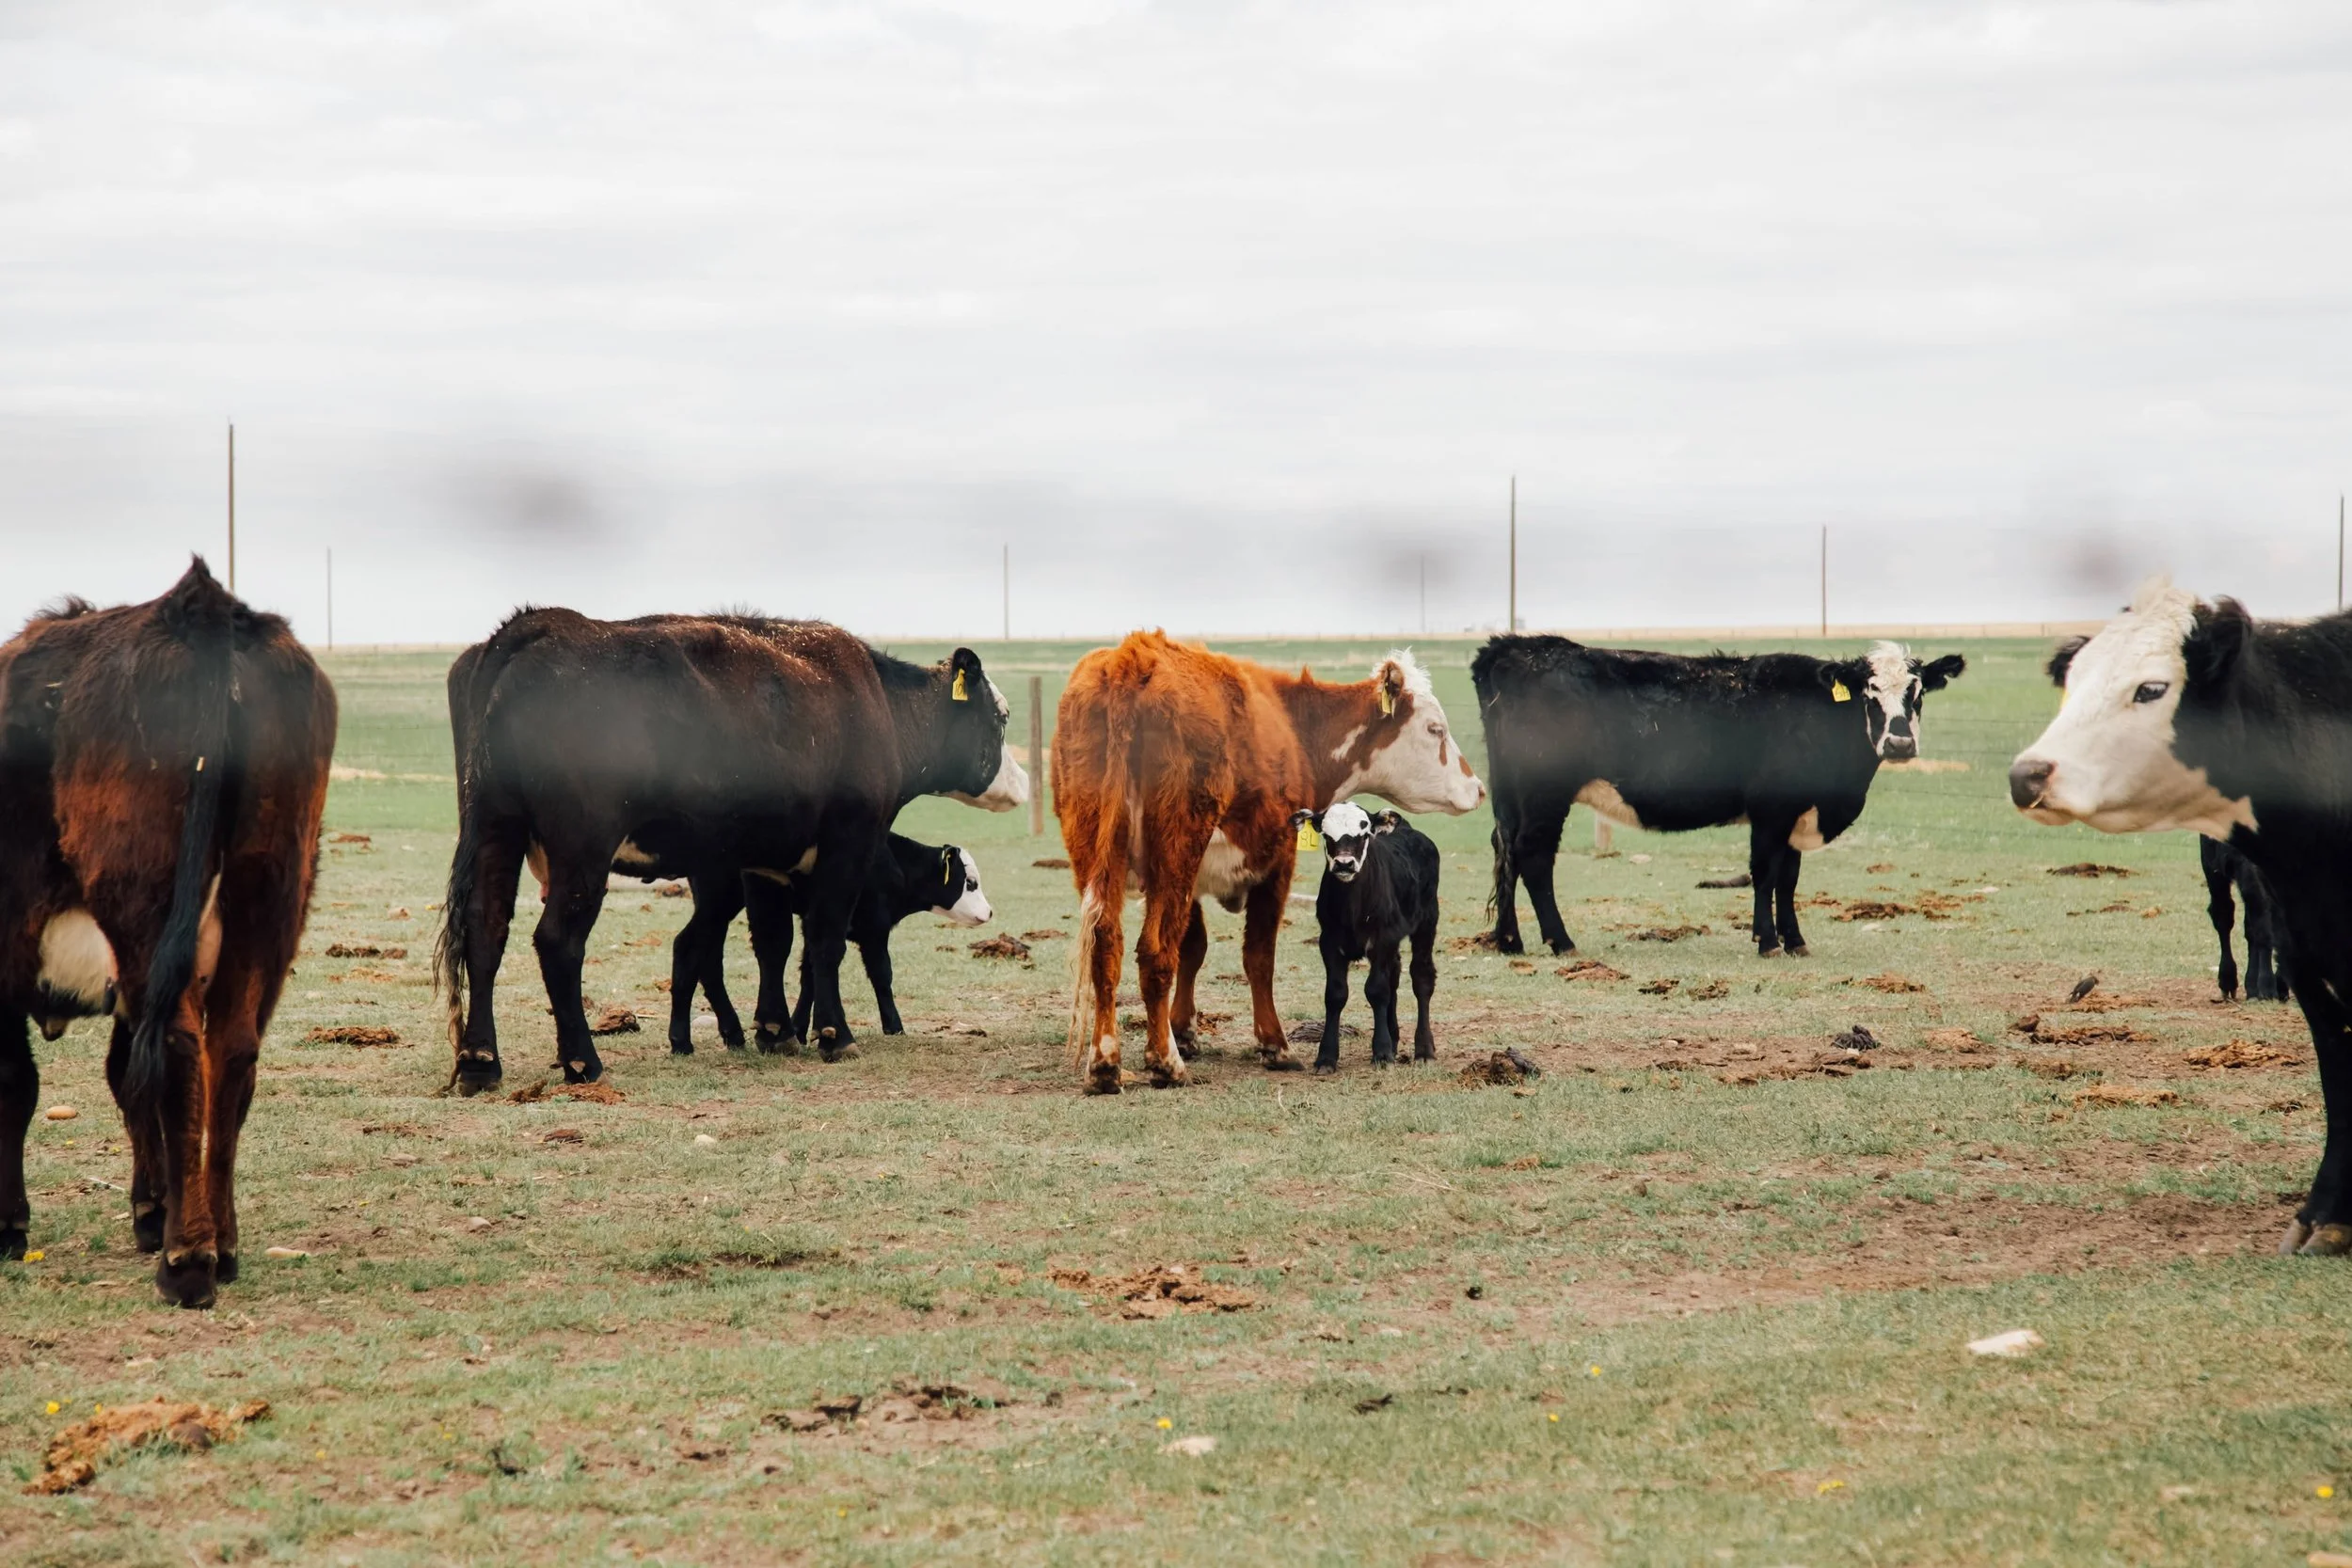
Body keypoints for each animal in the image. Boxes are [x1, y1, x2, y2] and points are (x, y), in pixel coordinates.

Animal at [0, 560, 335, 1307]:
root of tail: (200, 606)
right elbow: (126, 1077)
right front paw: (150, 1207)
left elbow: (15, 1082)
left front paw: (7, 1223)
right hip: (267, 904)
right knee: (230, 1052)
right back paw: (222, 1241)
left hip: (148, 917)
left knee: (181, 1049)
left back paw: (188, 1259)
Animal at [671, 834, 992, 1048]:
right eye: (970, 883)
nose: (989, 913)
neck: (893, 864)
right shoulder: (873, 931)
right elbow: (881, 975)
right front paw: (894, 1026)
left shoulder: (816, 925)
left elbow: (810, 976)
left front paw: (800, 1029)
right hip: (718, 901)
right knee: (687, 947)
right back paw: (683, 1041)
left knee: (708, 960)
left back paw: (731, 1034)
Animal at [1288, 802, 1441, 1073]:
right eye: (1326, 835)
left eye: (1364, 834)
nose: (1345, 864)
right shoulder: (1329, 942)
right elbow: (1335, 994)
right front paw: (1326, 1057)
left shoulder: (1381, 940)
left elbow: (1376, 990)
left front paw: (1381, 1053)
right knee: (1394, 977)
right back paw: (1394, 1039)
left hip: (1427, 923)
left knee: (1421, 978)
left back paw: (1424, 1050)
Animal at [1472, 637, 1966, 958]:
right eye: (1869, 692)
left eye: (1918, 693)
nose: (1899, 745)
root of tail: (1514, 647)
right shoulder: (1771, 810)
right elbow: (1765, 873)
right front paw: (1768, 942)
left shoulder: (1794, 813)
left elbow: (1788, 879)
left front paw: (1795, 941)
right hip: (1545, 794)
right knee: (1533, 856)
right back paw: (1561, 942)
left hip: (1511, 796)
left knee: (1505, 852)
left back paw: (1509, 941)